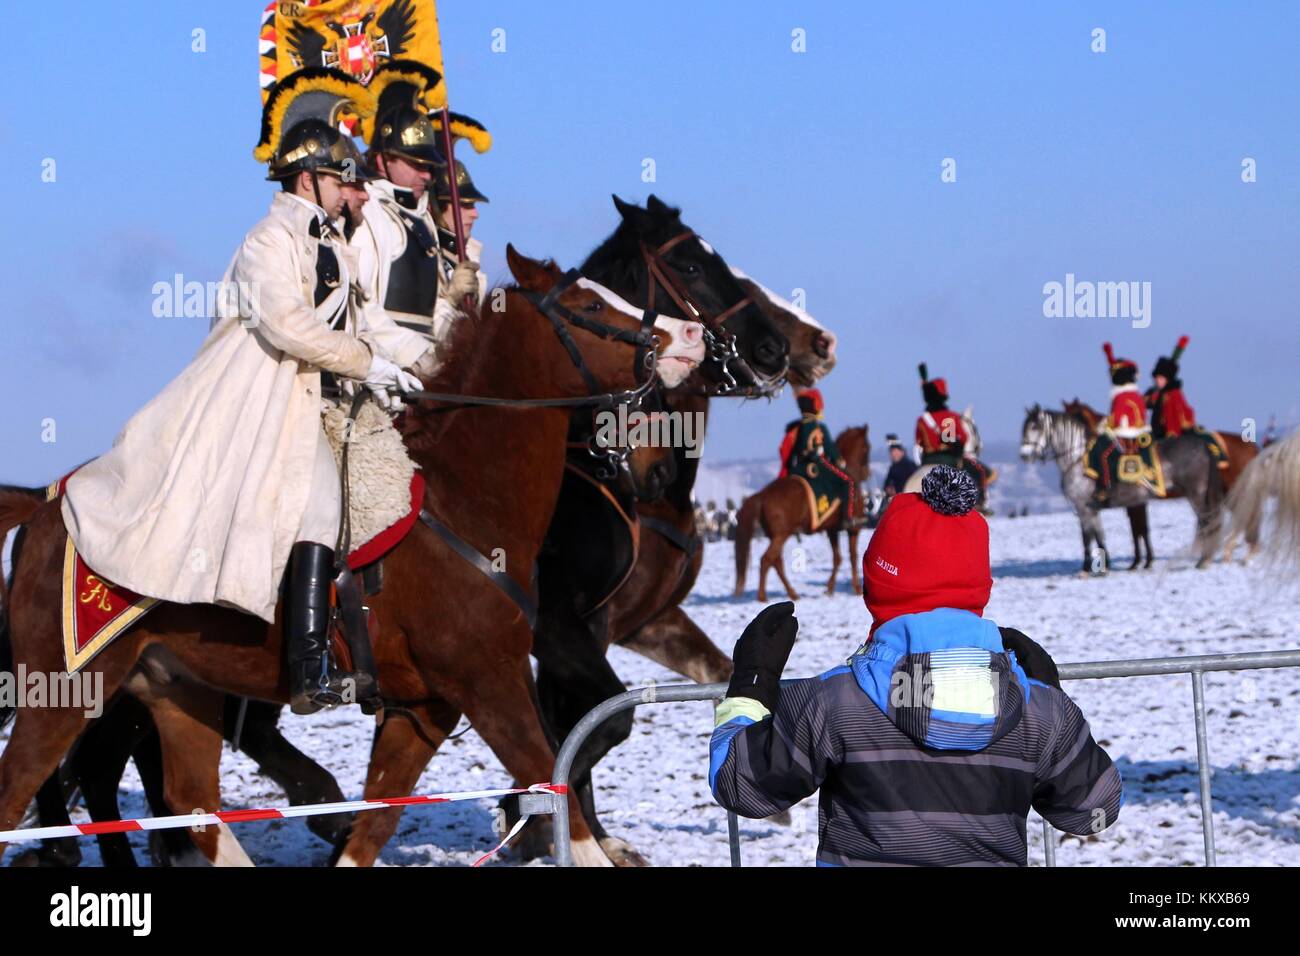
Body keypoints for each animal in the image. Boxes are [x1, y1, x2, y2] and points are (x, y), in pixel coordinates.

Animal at [733, 424, 873, 598]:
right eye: (866, 448)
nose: (867, 474)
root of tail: (763, 494)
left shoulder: (832, 530)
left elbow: (837, 558)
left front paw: (829, 589)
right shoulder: (854, 528)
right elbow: (853, 557)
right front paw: (857, 589)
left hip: (776, 536)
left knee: (776, 561)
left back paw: (792, 593)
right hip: (781, 535)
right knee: (767, 559)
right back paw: (763, 597)